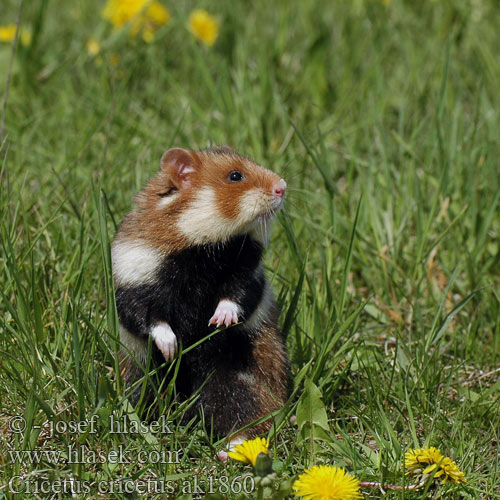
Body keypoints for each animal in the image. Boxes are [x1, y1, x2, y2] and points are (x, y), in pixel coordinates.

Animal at [112, 146, 292, 446]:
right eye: (235, 176)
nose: (283, 186)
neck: (199, 245)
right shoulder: (134, 278)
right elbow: (148, 318)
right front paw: (172, 348)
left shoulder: (248, 272)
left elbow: (237, 295)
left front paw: (219, 322)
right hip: (141, 374)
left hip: (235, 378)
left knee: (239, 413)